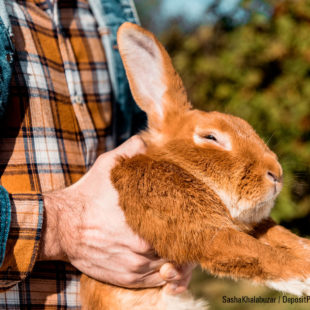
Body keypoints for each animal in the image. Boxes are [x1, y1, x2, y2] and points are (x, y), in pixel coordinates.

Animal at [80, 22, 310, 310]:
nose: (276, 174)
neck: (183, 169)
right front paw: (306, 273)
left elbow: (282, 237)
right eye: (210, 137)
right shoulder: (204, 233)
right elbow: (262, 255)